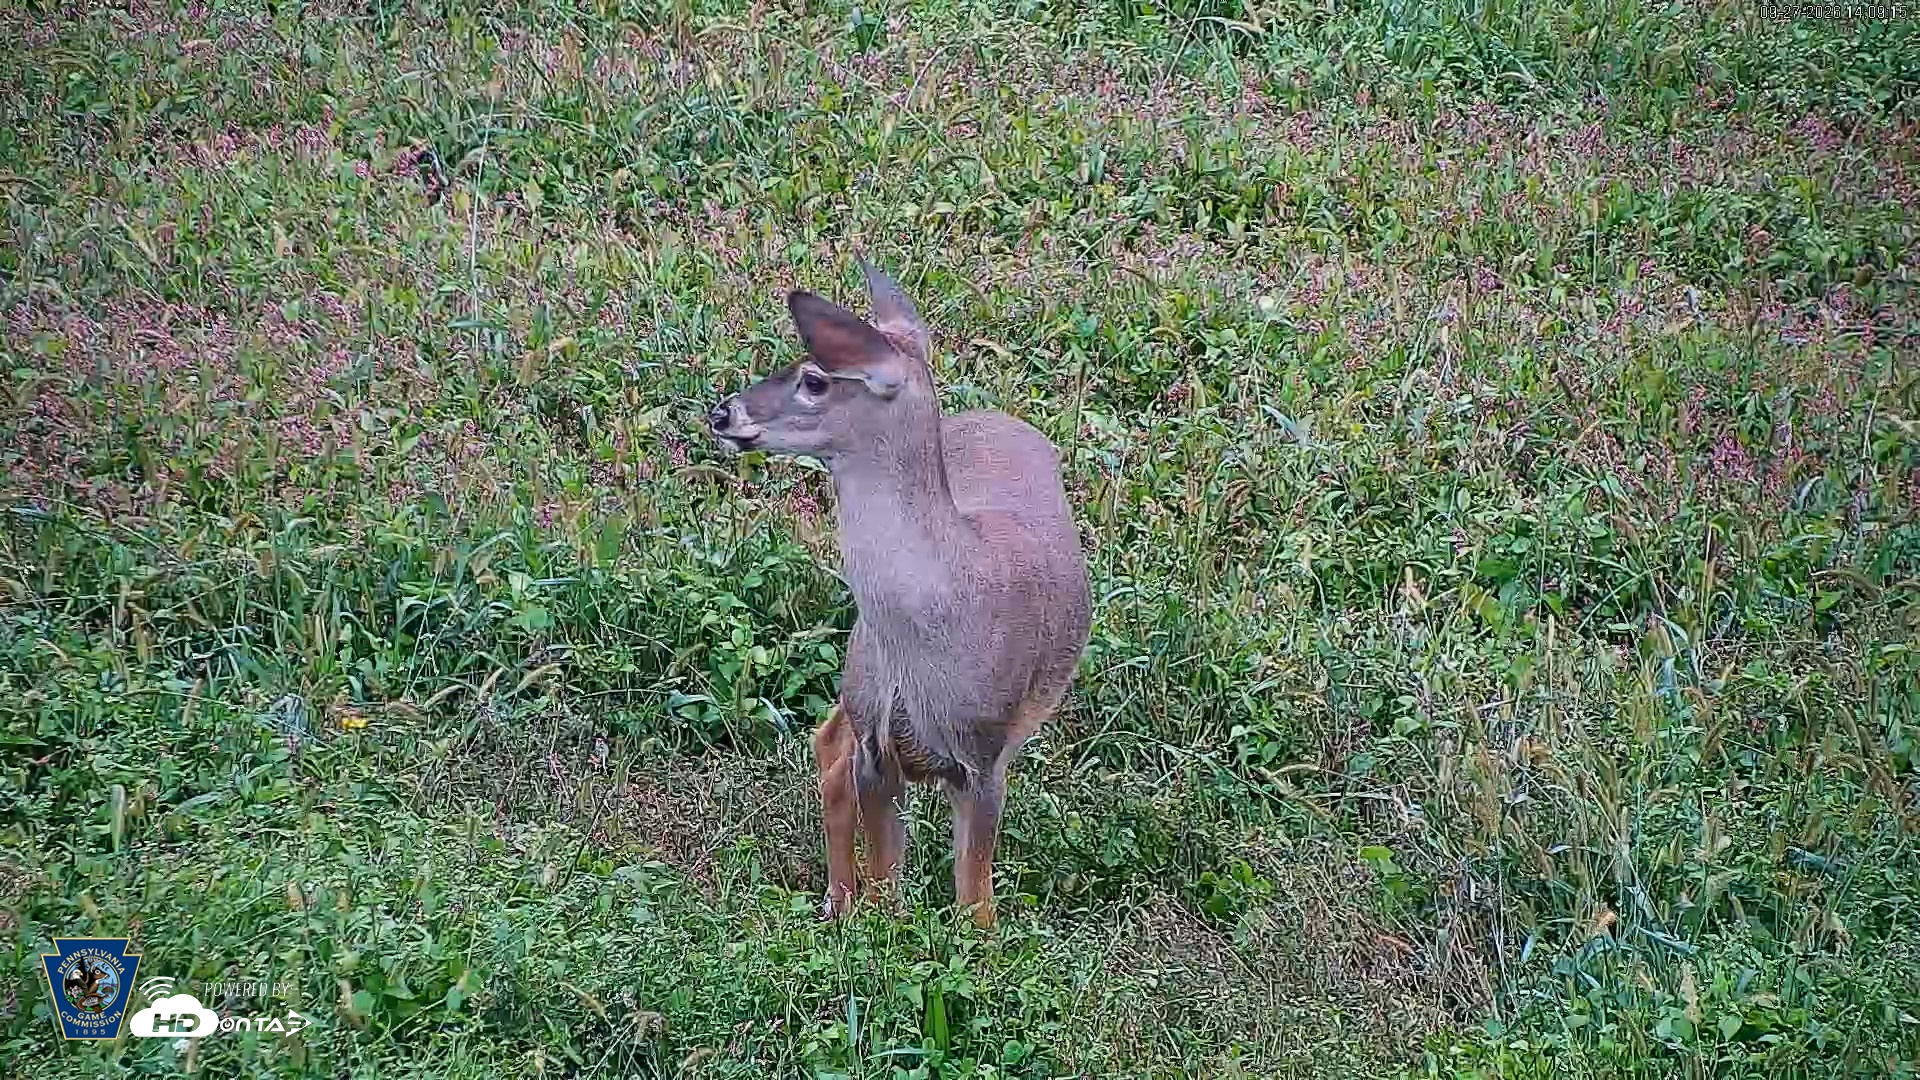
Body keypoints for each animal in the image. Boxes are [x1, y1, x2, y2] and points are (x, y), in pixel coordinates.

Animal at [705, 262, 1092, 928]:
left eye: (815, 379)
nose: (721, 412)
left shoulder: (984, 757)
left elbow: (975, 907)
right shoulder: (879, 747)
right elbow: (888, 893)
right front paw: (869, 924)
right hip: (861, 670)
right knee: (829, 745)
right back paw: (836, 901)